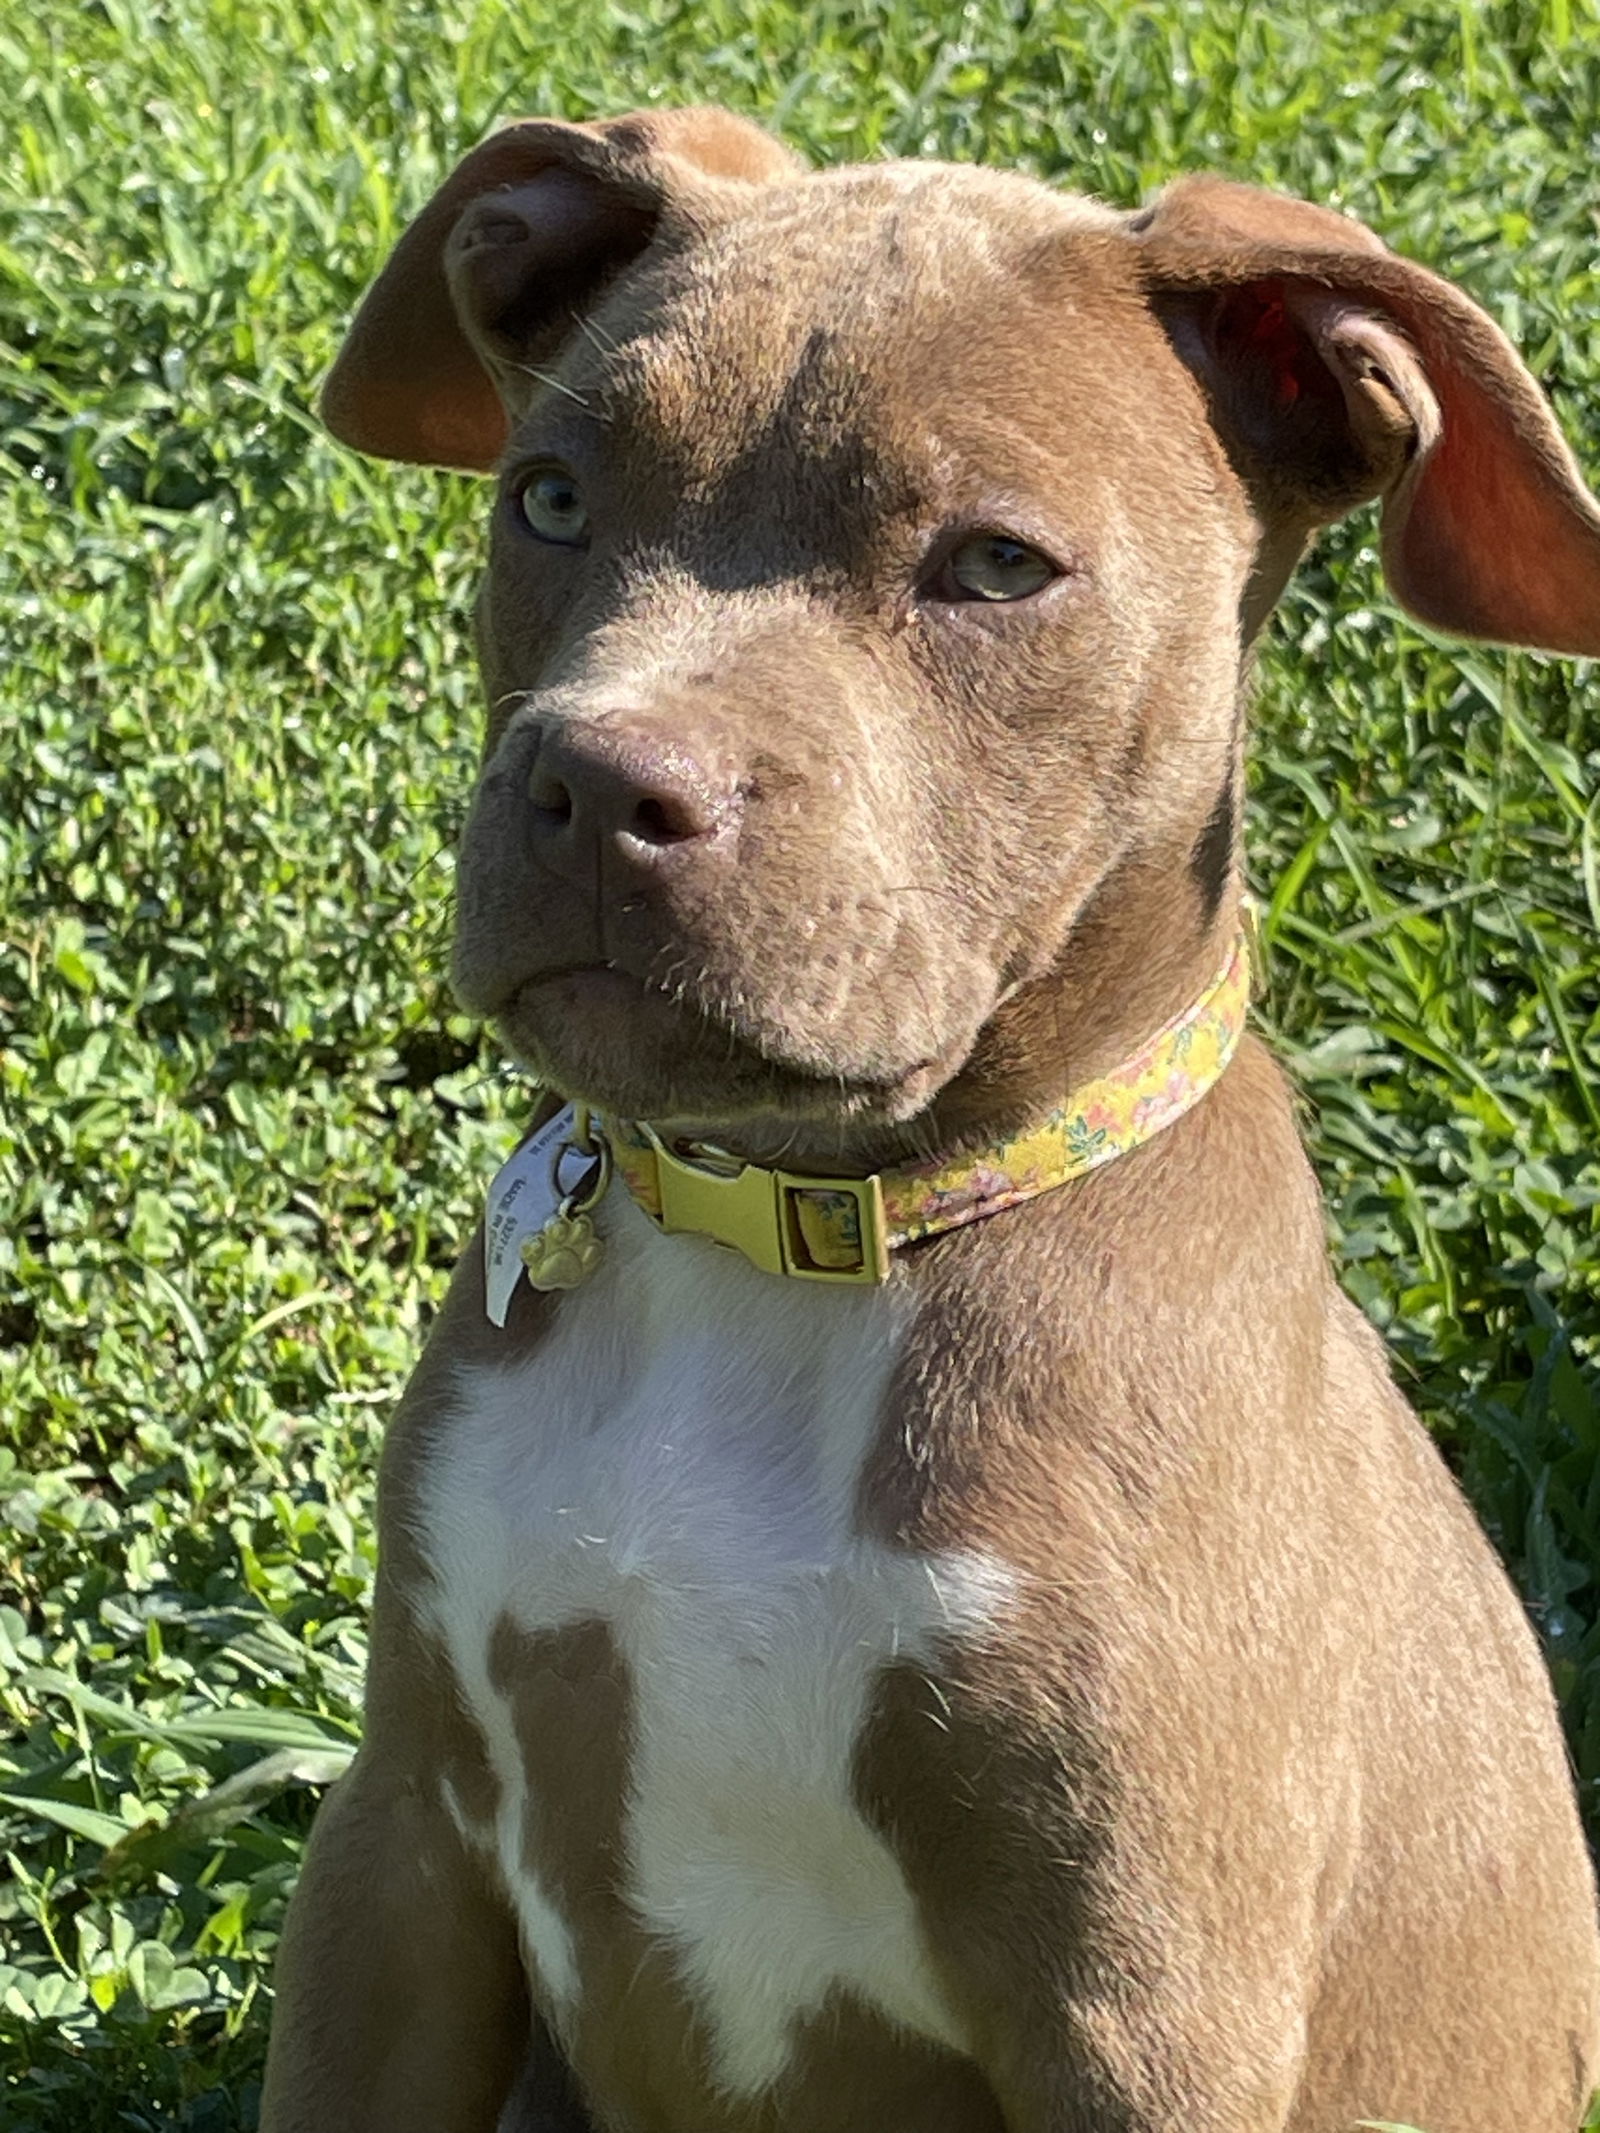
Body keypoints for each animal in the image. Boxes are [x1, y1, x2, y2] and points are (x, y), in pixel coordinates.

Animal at [260, 103, 1600, 2133]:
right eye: (551, 500)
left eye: (993, 566)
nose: (595, 786)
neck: (789, 1245)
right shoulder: (401, 1835)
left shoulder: (1144, 2009)